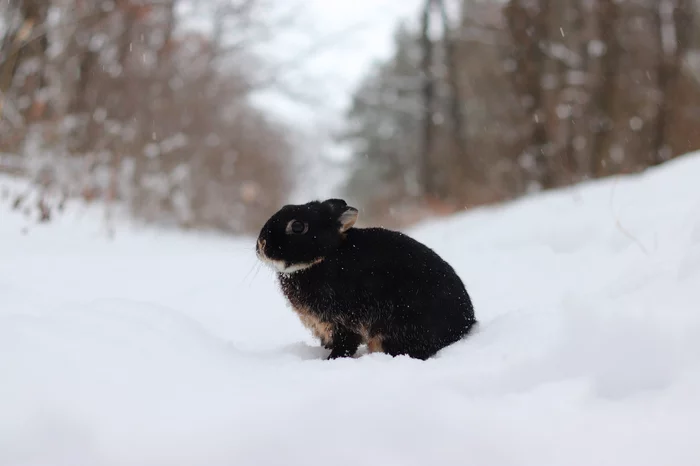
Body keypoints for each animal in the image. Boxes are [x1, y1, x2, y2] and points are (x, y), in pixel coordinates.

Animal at [254, 198, 478, 360]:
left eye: (298, 227)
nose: (261, 245)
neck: (324, 257)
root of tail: (466, 325)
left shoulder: (343, 320)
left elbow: (346, 343)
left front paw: (332, 359)